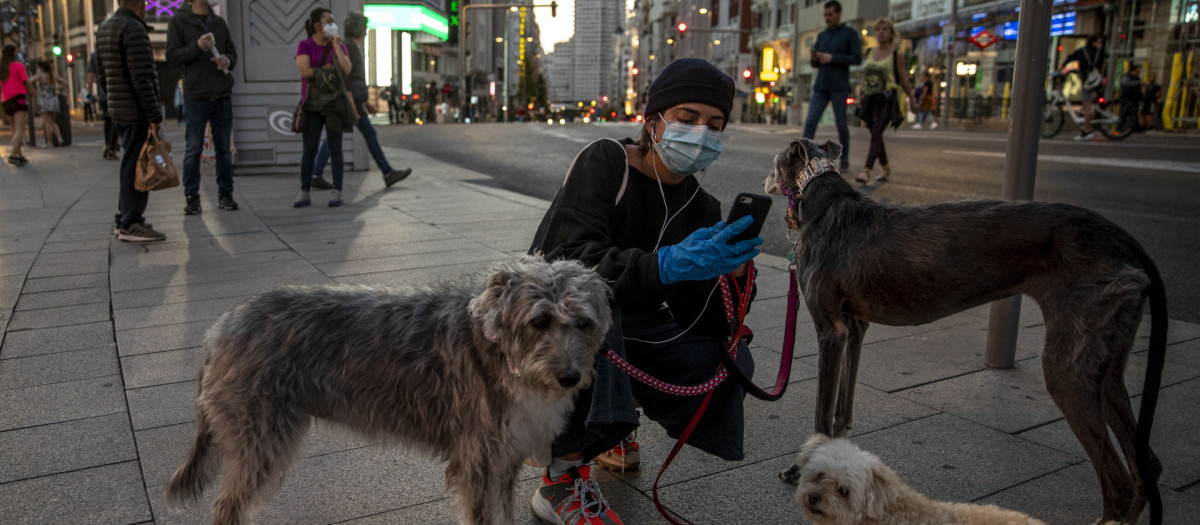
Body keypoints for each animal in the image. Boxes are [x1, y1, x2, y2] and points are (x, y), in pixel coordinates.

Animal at [164, 258, 614, 525]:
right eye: (539, 322)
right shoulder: (478, 461)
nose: (570, 377)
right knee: (227, 507)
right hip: (260, 439)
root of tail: (222, 327)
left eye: (583, 323)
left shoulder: (505, 460)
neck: (500, 352)